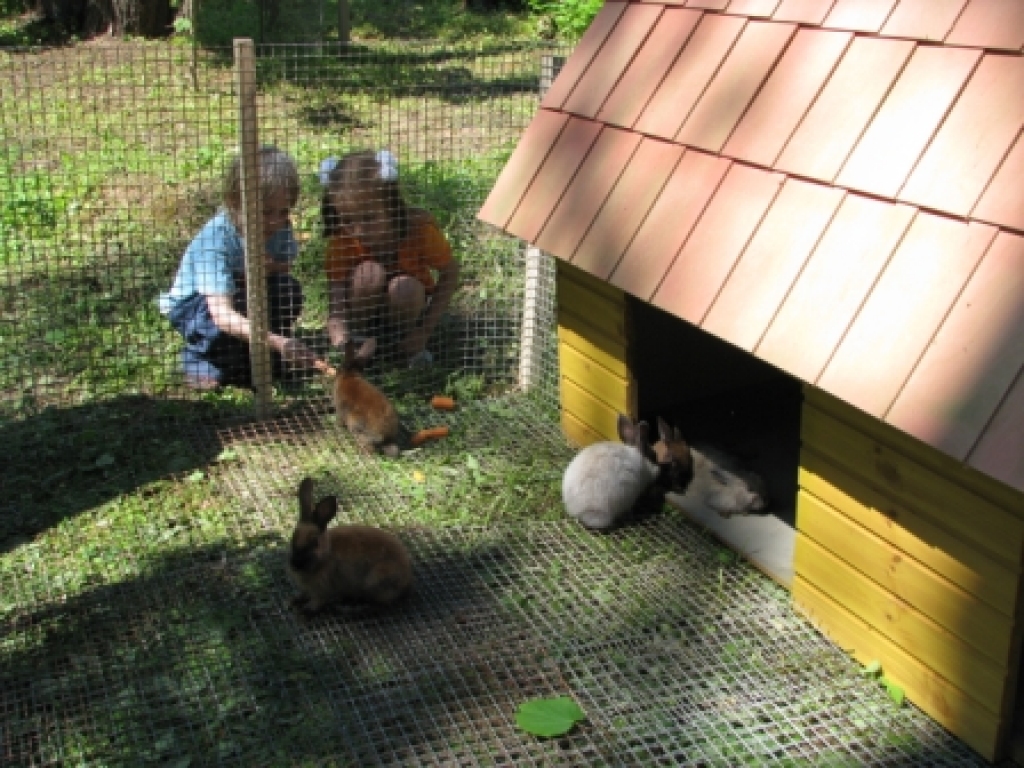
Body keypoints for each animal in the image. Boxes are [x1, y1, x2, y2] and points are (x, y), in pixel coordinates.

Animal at [286, 475, 413, 618]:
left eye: (315, 543)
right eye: (293, 538)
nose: (296, 564)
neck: (325, 556)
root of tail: (406, 580)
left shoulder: (323, 591)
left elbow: (318, 601)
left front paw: (306, 610)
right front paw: (294, 600)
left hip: (375, 581)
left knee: (378, 605)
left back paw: (349, 609)